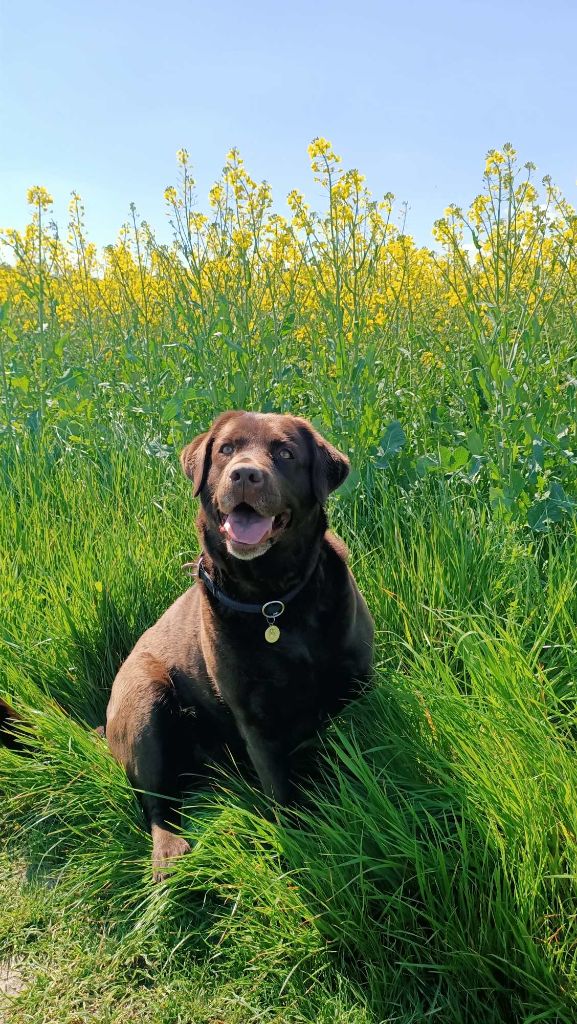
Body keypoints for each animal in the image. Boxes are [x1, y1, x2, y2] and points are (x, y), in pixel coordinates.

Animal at [105, 411, 373, 876]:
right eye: (226, 449)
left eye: (286, 453)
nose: (245, 474)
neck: (274, 601)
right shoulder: (256, 721)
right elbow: (281, 794)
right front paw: (302, 851)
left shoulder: (359, 684)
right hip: (143, 702)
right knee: (155, 803)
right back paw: (168, 853)